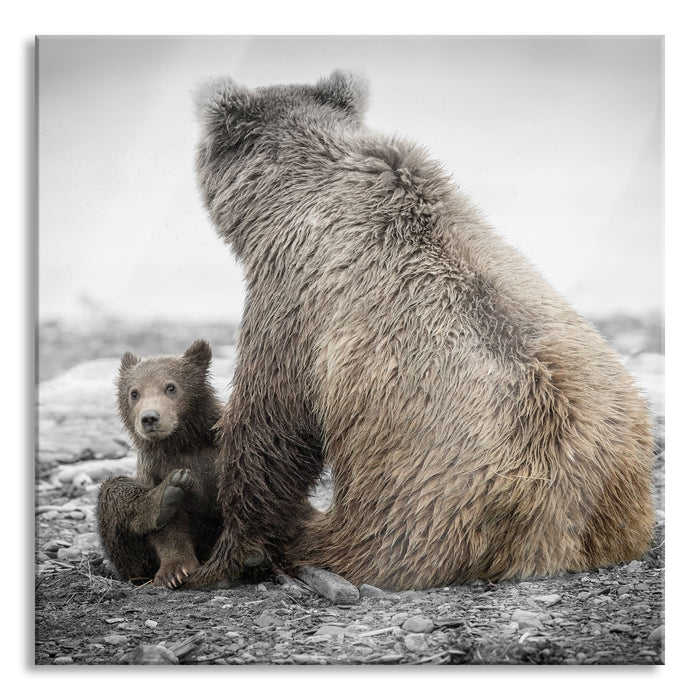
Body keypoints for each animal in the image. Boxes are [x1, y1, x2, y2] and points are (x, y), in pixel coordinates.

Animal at [97, 340, 224, 588]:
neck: (182, 443)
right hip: (135, 562)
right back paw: (162, 498)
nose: (150, 418)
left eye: (171, 387)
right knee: (114, 490)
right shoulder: (156, 469)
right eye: (134, 392)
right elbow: (169, 530)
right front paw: (174, 571)